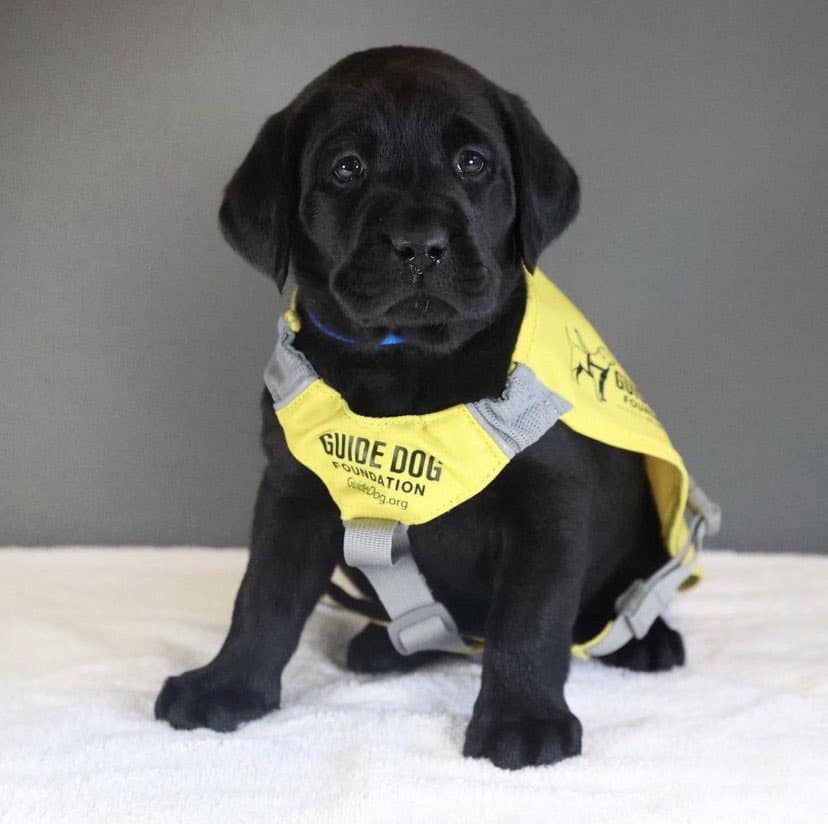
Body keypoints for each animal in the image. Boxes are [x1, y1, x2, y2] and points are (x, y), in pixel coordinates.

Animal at [157, 45, 684, 768]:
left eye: (472, 162)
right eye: (346, 168)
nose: (420, 243)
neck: (407, 361)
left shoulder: (550, 504)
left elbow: (531, 618)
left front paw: (523, 718)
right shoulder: (292, 492)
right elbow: (263, 596)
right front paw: (228, 683)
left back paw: (648, 640)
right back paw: (384, 645)